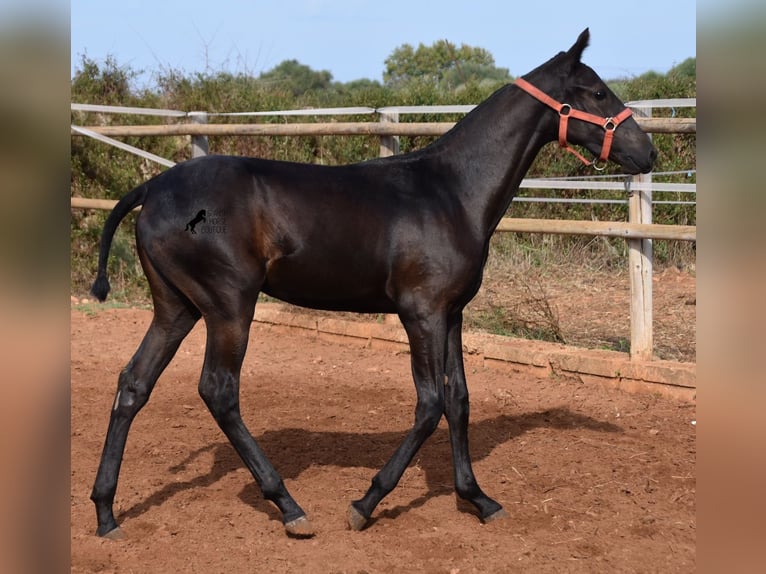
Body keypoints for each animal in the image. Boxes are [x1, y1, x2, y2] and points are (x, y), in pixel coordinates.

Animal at [87, 29, 656, 544]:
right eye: (597, 91)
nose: (647, 152)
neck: (451, 191)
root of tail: (152, 188)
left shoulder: (451, 314)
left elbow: (459, 399)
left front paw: (478, 499)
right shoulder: (420, 313)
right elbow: (430, 404)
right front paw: (364, 504)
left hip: (177, 307)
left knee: (133, 384)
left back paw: (106, 512)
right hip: (228, 307)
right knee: (219, 391)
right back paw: (289, 506)